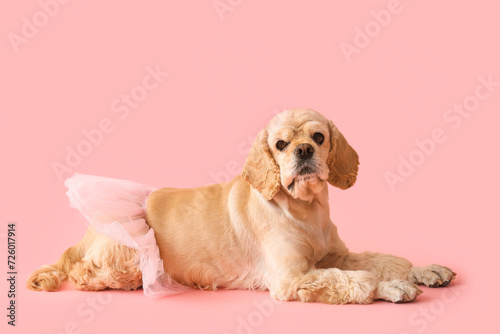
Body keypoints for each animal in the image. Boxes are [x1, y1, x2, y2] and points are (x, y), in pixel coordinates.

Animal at [28, 109, 458, 302]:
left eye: (318, 137)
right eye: (281, 144)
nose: (304, 151)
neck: (305, 210)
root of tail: (86, 234)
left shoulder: (334, 254)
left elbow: (384, 259)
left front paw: (424, 270)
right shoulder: (291, 278)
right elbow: (356, 279)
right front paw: (393, 287)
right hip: (127, 256)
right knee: (86, 273)